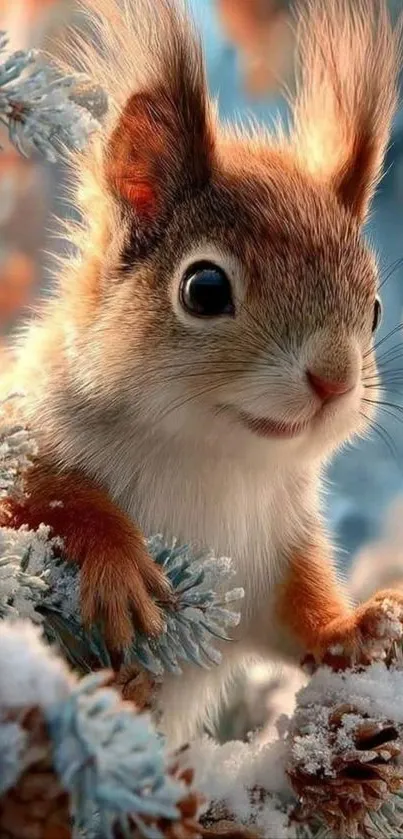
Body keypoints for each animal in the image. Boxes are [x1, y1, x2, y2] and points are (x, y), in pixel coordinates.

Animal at [1, 0, 403, 747]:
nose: (333, 380)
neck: (213, 462)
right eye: (205, 289)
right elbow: (48, 498)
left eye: (373, 307)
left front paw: (362, 624)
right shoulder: (25, 428)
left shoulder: (270, 555)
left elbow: (298, 616)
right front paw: (118, 563)